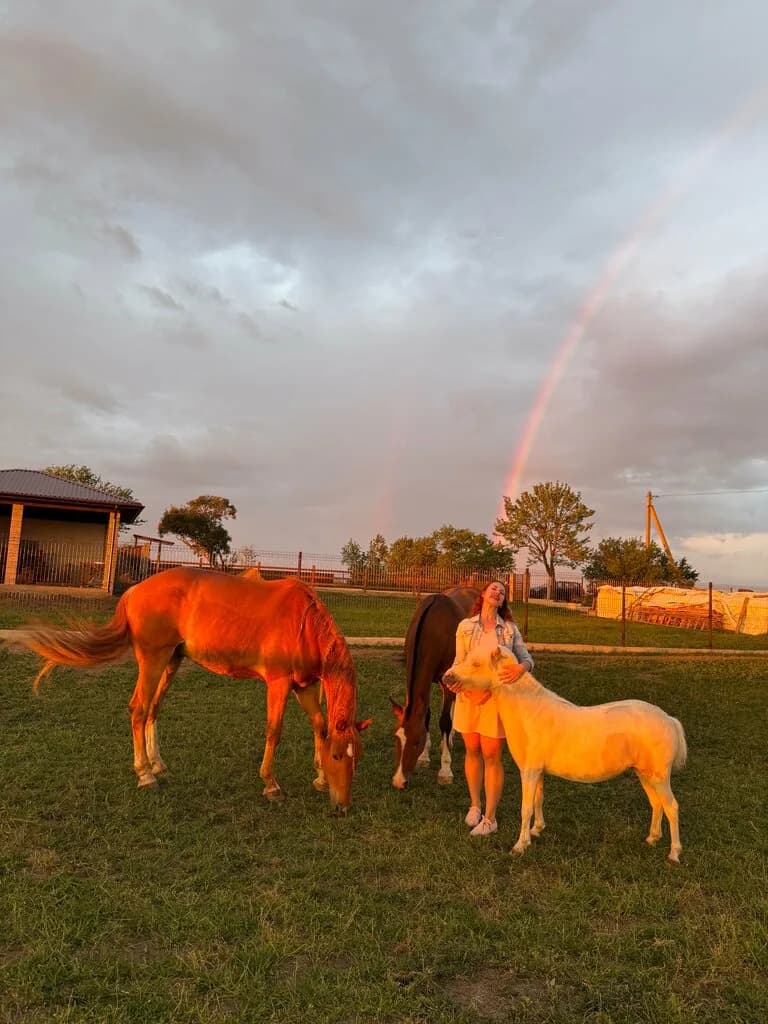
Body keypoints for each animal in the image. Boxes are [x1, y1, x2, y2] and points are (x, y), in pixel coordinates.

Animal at [16, 567, 372, 813]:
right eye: (338, 756)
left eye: (356, 757)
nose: (342, 807)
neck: (303, 622)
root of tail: (134, 591)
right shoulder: (279, 684)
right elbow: (274, 730)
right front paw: (272, 785)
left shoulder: (305, 686)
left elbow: (320, 726)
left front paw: (320, 778)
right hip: (153, 660)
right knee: (138, 708)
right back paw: (145, 775)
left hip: (171, 661)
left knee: (154, 708)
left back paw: (156, 764)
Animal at [390, 586, 479, 790]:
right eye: (397, 739)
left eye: (416, 742)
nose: (399, 781)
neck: (435, 628)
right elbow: (426, 715)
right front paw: (424, 757)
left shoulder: (448, 682)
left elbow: (445, 721)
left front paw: (445, 770)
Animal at [443, 646, 687, 862]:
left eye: (476, 663)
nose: (448, 677)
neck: (529, 712)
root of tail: (669, 720)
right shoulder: (537, 771)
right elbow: (538, 800)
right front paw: (536, 831)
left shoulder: (529, 770)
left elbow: (525, 808)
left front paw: (519, 846)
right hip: (644, 774)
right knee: (657, 804)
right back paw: (652, 839)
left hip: (658, 777)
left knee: (672, 807)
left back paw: (674, 854)